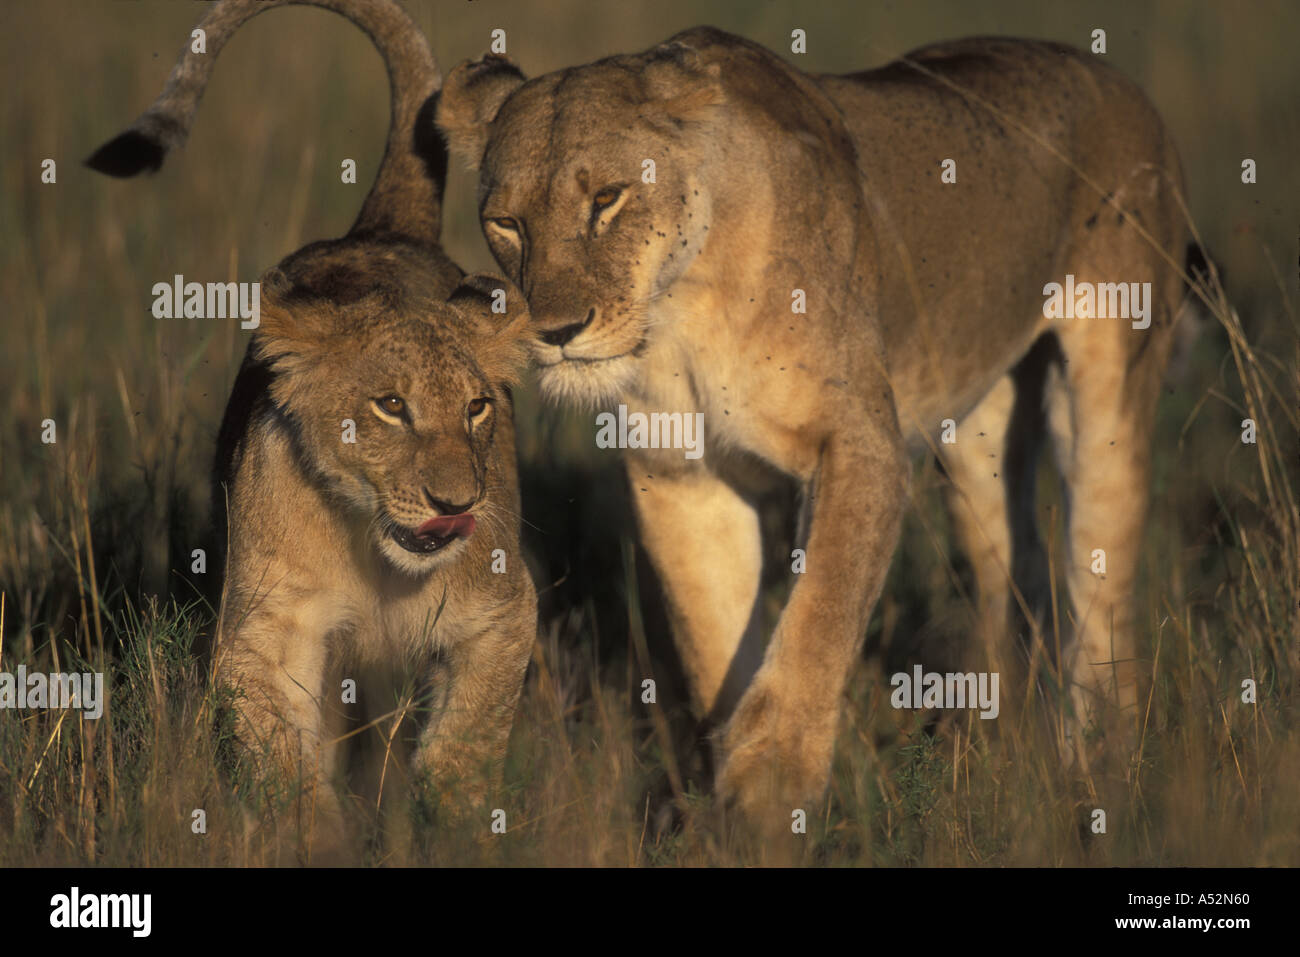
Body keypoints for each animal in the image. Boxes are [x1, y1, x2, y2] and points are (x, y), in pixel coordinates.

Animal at [88, 0, 537, 853]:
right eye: (390, 406)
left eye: (478, 408)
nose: (456, 504)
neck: (379, 557)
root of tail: (384, 230)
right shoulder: (266, 631)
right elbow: (282, 759)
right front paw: (317, 838)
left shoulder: (503, 610)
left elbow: (470, 734)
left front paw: (457, 821)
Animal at [436, 28, 1195, 823]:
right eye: (506, 223)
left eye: (607, 199)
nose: (553, 333)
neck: (680, 310)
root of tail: (1114, 78)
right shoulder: (680, 475)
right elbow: (714, 638)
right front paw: (730, 805)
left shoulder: (860, 441)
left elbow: (823, 604)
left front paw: (773, 777)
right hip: (978, 432)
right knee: (1014, 580)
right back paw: (996, 746)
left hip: (1107, 389)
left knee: (1100, 587)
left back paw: (1098, 766)